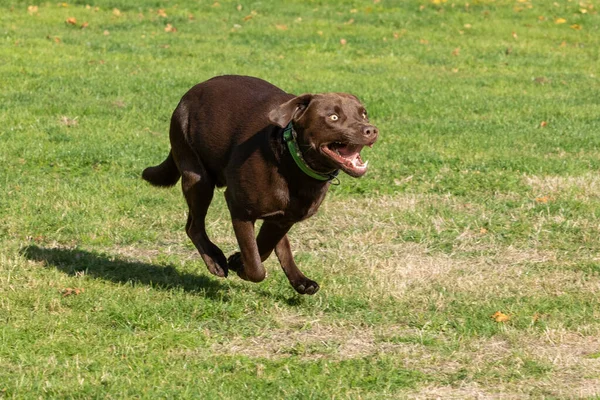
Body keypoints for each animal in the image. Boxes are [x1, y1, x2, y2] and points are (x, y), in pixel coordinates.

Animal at [143, 76, 378, 294]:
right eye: (333, 117)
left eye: (363, 113)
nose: (371, 130)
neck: (291, 159)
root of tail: (190, 93)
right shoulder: (240, 209)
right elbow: (256, 265)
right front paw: (239, 263)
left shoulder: (285, 217)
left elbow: (264, 247)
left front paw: (238, 260)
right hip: (197, 176)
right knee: (193, 225)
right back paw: (215, 260)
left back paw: (300, 280)